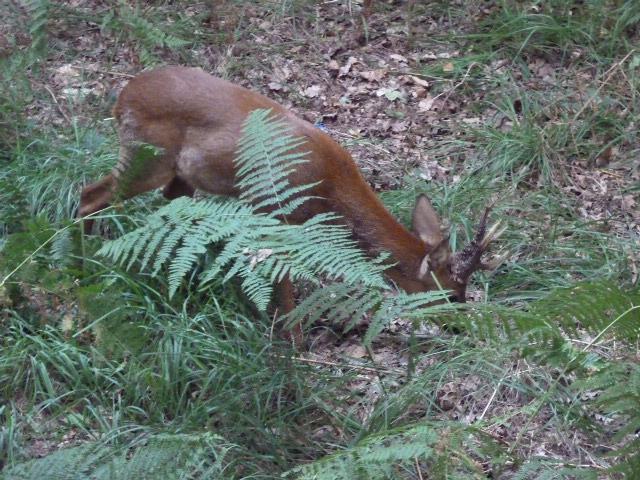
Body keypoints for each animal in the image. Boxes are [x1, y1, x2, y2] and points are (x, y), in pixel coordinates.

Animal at [77, 66, 502, 344]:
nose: (463, 325)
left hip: (179, 174)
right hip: (147, 154)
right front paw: (296, 343)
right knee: (89, 196)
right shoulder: (275, 214)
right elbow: (283, 285)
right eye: (451, 293)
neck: (331, 189)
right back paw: (86, 260)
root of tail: (123, 96)